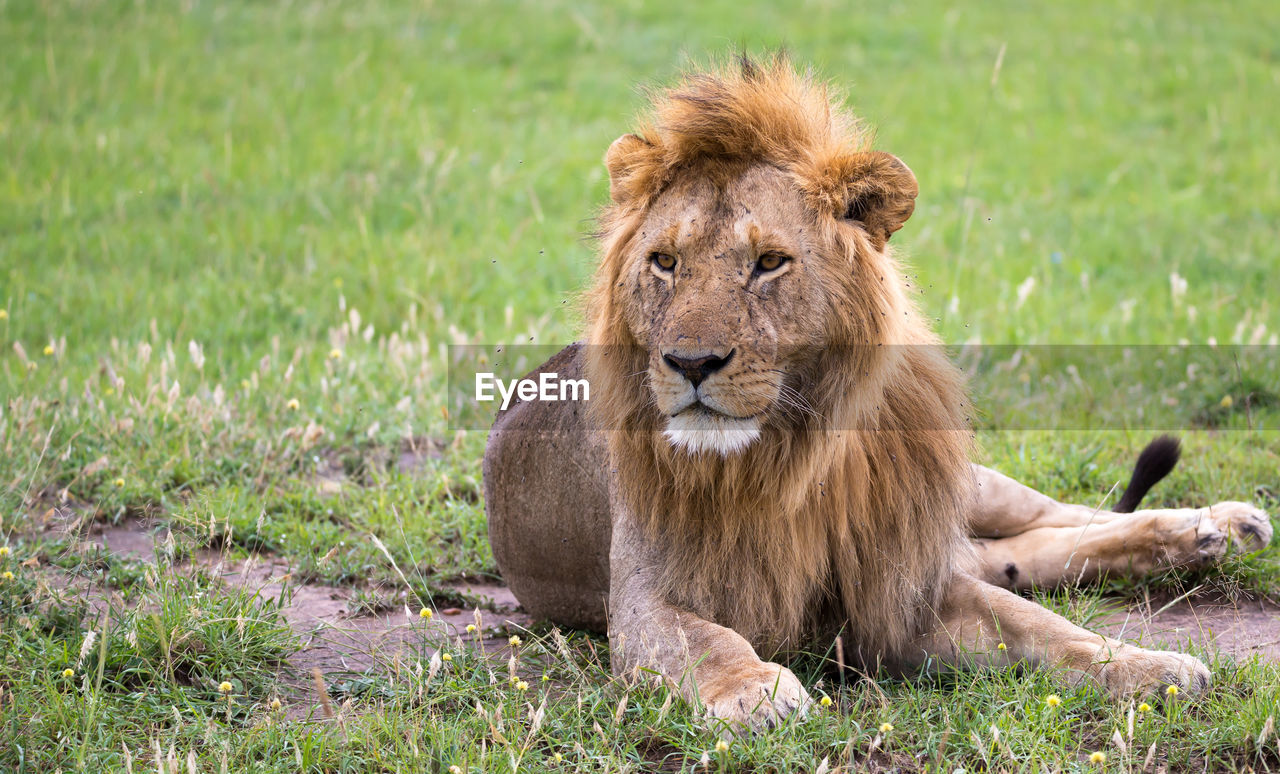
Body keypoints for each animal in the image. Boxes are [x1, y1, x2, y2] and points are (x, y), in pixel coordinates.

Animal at [481, 54, 1269, 731]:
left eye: (769, 262)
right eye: (665, 263)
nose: (691, 362)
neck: (787, 454)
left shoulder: (902, 583)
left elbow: (1045, 627)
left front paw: (1149, 667)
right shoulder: (644, 597)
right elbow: (702, 640)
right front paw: (753, 689)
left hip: (964, 484)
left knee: (1066, 516)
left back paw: (1218, 526)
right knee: (1034, 550)